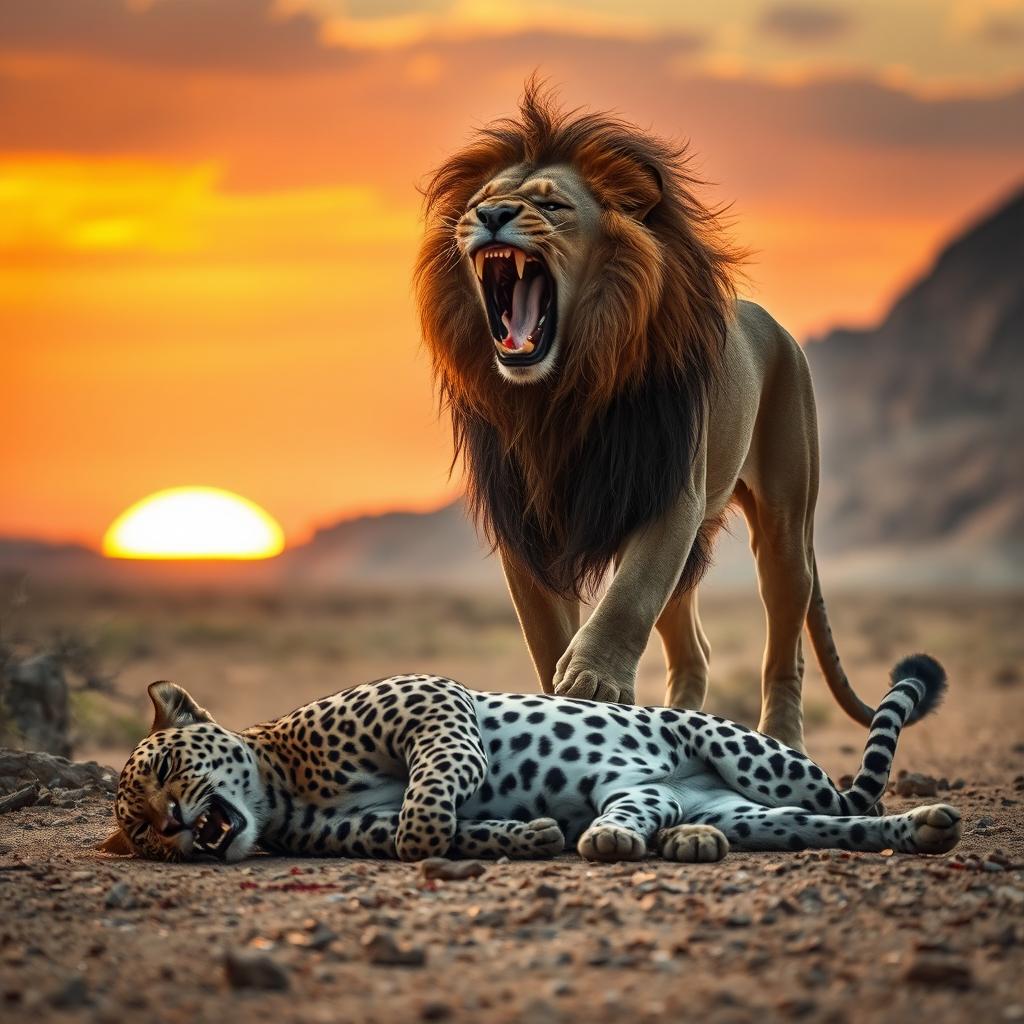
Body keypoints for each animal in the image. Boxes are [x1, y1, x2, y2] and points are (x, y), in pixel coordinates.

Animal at [414, 81, 881, 752]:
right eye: (478, 202)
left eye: (551, 206)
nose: (492, 216)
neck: (558, 395)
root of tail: (776, 327)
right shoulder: (526, 522)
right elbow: (546, 631)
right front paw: (565, 708)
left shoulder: (669, 495)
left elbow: (627, 599)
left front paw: (592, 683)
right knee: (695, 651)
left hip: (787, 525)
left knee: (784, 644)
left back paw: (783, 741)